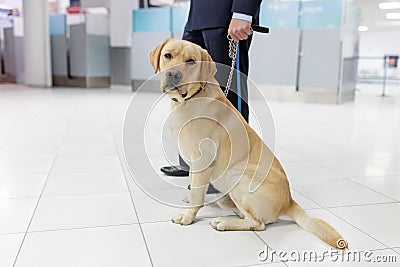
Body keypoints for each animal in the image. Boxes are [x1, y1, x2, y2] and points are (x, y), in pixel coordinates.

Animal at [149, 38, 346, 250]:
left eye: (191, 61)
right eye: (168, 55)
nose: (173, 74)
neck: (191, 98)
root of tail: (289, 201)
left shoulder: (202, 159)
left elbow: (196, 196)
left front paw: (187, 217)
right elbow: (194, 187)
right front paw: (190, 198)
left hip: (237, 179)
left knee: (257, 223)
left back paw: (224, 222)